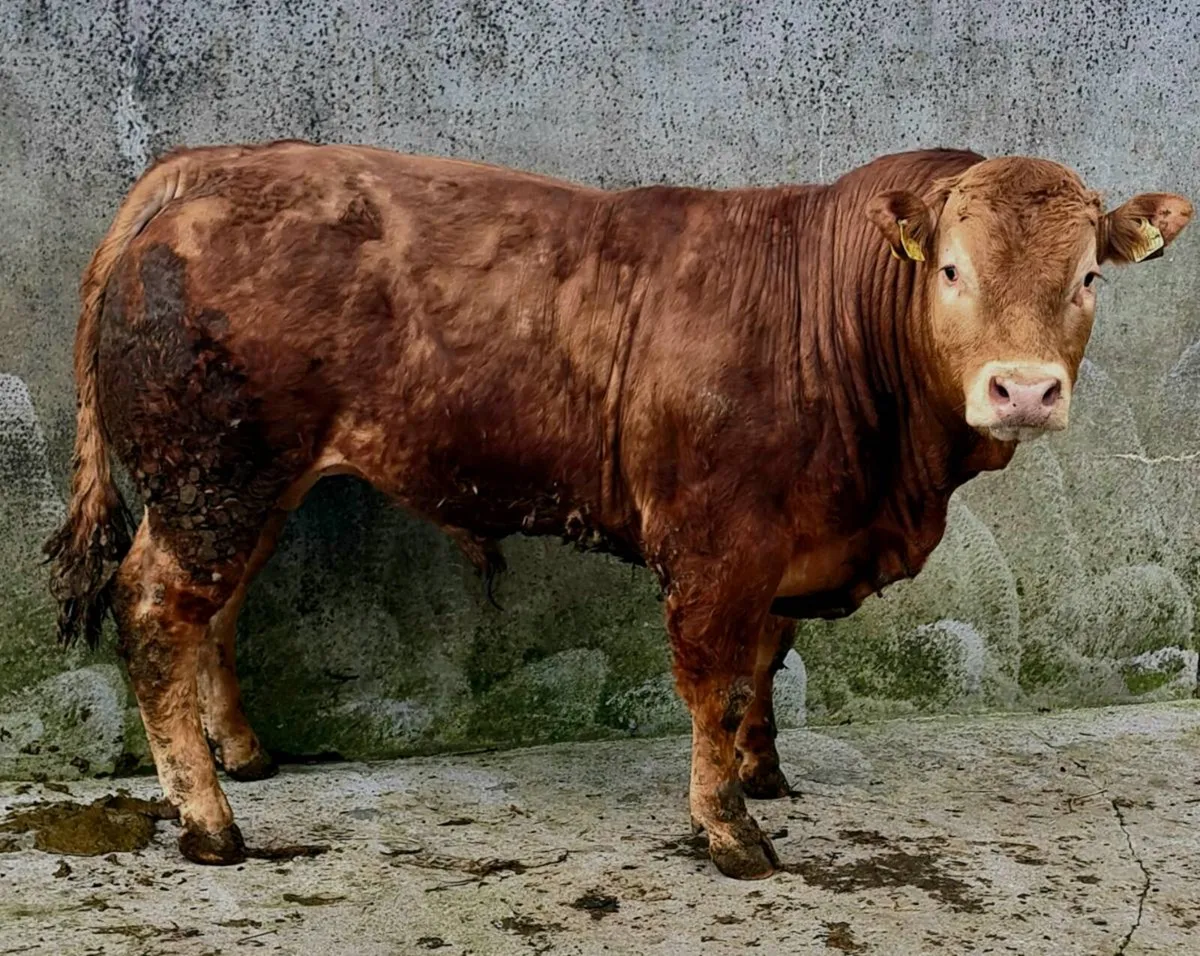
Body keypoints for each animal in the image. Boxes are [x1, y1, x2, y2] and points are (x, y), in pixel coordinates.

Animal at [45, 140, 1191, 880]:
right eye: (952, 269)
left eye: (1088, 276)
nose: (1024, 390)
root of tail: (202, 172)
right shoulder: (717, 545)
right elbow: (716, 683)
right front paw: (730, 831)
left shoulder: (788, 546)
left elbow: (766, 664)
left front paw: (765, 773)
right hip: (213, 480)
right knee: (155, 612)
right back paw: (210, 820)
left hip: (244, 487)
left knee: (217, 612)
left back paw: (243, 755)